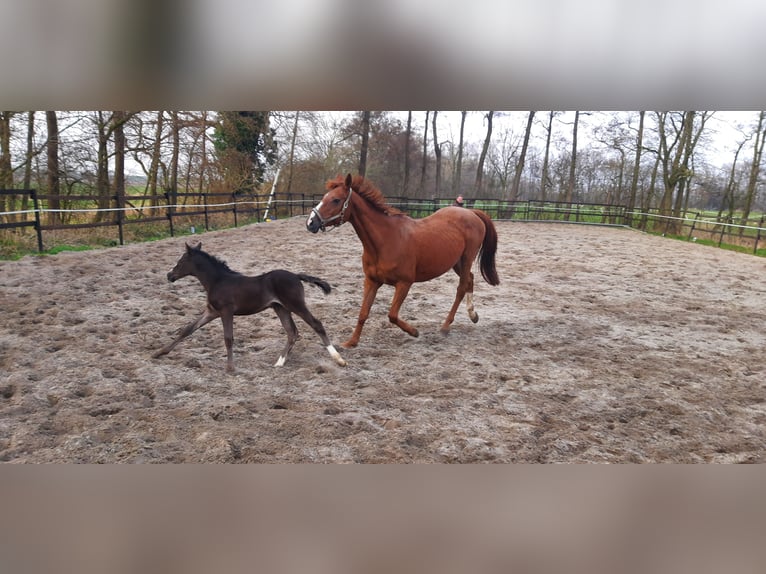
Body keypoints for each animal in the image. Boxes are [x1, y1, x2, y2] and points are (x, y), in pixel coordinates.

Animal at [154, 244, 346, 374]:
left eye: (180, 262)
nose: (169, 275)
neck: (217, 281)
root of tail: (295, 275)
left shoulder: (226, 311)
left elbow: (228, 338)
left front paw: (230, 367)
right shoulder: (212, 312)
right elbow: (187, 329)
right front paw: (159, 352)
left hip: (295, 304)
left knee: (316, 324)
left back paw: (339, 359)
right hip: (280, 308)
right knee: (292, 332)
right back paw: (279, 362)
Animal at [308, 173, 500, 348]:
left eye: (336, 200)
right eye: (324, 197)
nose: (310, 223)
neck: (385, 240)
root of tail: (471, 212)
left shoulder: (404, 283)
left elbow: (392, 315)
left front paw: (414, 332)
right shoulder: (371, 281)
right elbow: (363, 313)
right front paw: (351, 342)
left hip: (467, 258)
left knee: (461, 287)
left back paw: (445, 327)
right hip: (456, 262)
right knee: (470, 280)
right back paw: (473, 315)